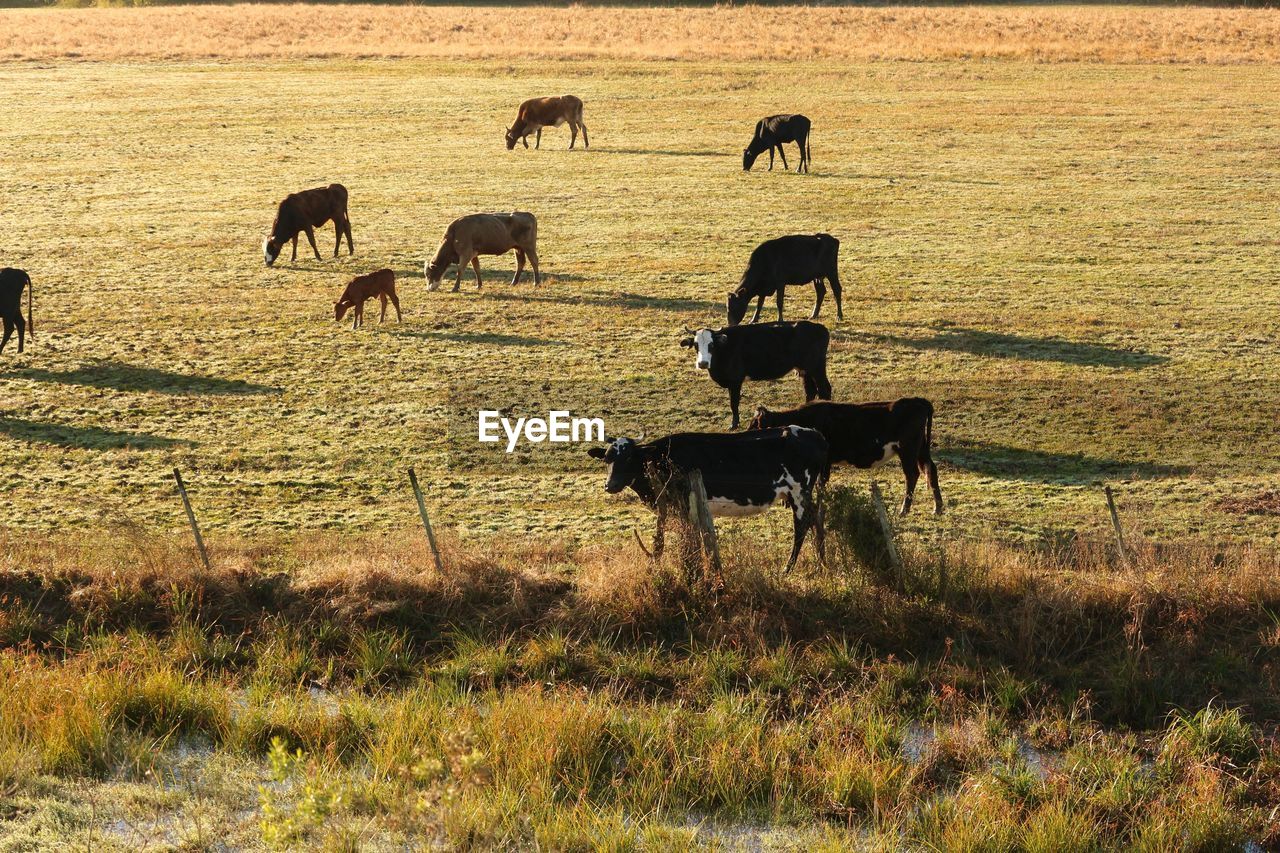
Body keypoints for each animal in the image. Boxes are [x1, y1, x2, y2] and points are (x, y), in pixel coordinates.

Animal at [586, 425, 829, 571]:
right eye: (607, 458)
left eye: (628, 457)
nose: (610, 485)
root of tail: (813, 433)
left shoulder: (682, 503)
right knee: (816, 519)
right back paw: (821, 562)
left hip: (798, 490)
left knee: (802, 525)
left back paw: (788, 568)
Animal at [675, 317, 834, 425]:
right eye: (696, 345)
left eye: (711, 344)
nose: (702, 363)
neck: (725, 348)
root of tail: (820, 328)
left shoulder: (735, 381)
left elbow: (734, 403)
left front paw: (734, 425)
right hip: (805, 370)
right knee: (810, 391)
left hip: (817, 368)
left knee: (824, 389)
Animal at [747, 394, 942, 514]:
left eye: (755, 425)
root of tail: (917, 400)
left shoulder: (823, 462)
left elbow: (819, 483)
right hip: (921, 449)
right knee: (930, 469)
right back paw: (937, 508)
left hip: (908, 449)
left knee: (912, 474)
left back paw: (904, 509)